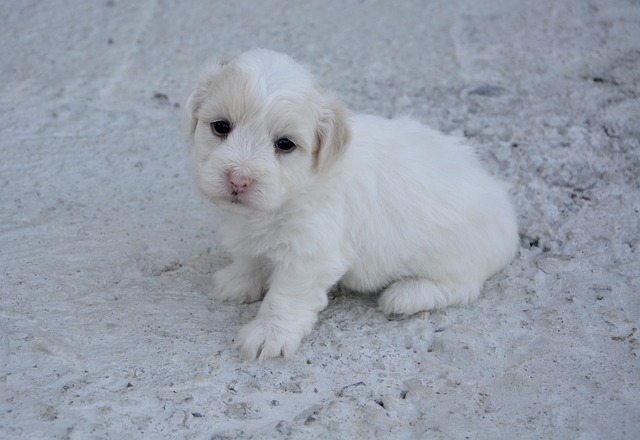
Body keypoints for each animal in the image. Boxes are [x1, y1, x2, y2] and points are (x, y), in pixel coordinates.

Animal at [182, 49, 516, 362]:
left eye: (285, 144)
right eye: (221, 126)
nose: (238, 180)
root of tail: (505, 204)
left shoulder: (310, 253)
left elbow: (285, 296)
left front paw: (269, 335)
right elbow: (249, 256)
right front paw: (238, 281)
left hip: (457, 258)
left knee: (462, 286)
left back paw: (407, 295)